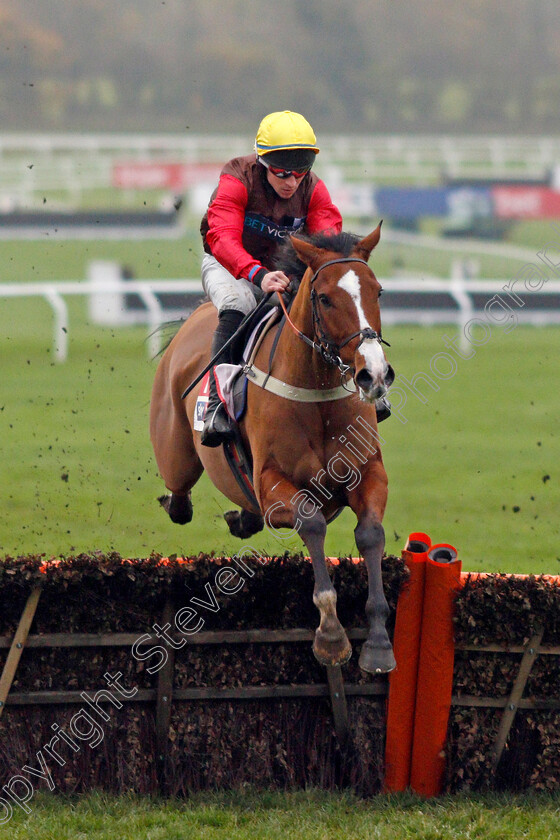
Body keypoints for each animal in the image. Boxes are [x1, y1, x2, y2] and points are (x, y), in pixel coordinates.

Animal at [149, 225, 394, 676]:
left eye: (378, 291)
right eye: (324, 297)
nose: (374, 373)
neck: (315, 393)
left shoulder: (369, 474)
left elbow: (370, 535)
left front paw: (379, 643)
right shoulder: (271, 485)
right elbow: (311, 522)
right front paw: (330, 636)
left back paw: (241, 518)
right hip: (175, 454)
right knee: (179, 498)